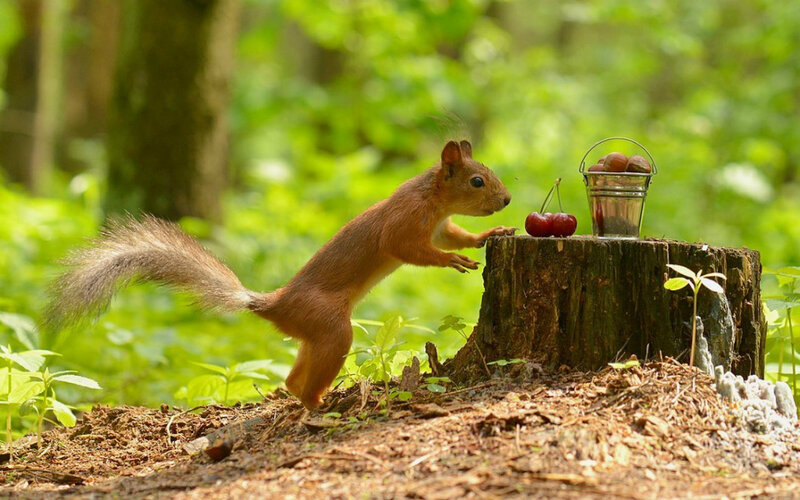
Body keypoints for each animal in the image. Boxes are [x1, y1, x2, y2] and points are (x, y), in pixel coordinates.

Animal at [45, 140, 515, 410]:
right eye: (477, 181)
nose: (508, 200)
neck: (432, 198)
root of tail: (271, 304)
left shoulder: (441, 226)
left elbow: (458, 236)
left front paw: (490, 235)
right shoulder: (404, 225)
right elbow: (411, 251)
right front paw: (451, 262)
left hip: (313, 335)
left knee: (290, 378)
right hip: (332, 329)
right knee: (306, 383)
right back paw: (320, 405)